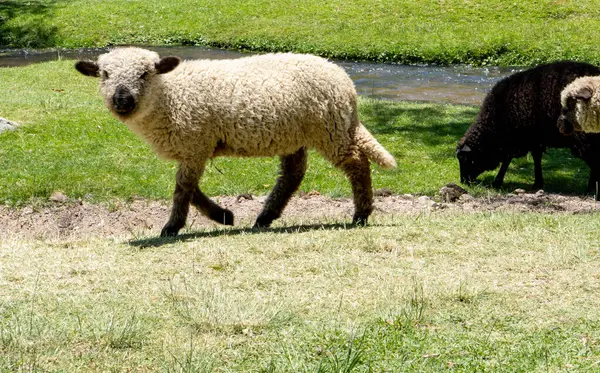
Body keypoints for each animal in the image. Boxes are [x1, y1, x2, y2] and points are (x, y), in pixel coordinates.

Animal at [75, 46, 396, 235]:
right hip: (295, 135)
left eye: (144, 74)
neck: (171, 96)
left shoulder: (196, 142)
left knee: (357, 163)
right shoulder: (195, 147)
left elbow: (183, 188)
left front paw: (173, 226)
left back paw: (361, 214)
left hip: (329, 129)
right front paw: (224, 216)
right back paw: (265, 218)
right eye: (105, 74)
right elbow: (189, 188)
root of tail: (344, 79)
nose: (122, 100)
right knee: (293, 174)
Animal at [454, 60, 600, 192]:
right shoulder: (531, 138)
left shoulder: (518, 137)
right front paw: (538, 183)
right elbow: (536, 158)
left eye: (464, 158)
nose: (463, 181)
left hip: (584, 137)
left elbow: (507, 160)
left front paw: (497, 182)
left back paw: (591, 188)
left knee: (593, 160)